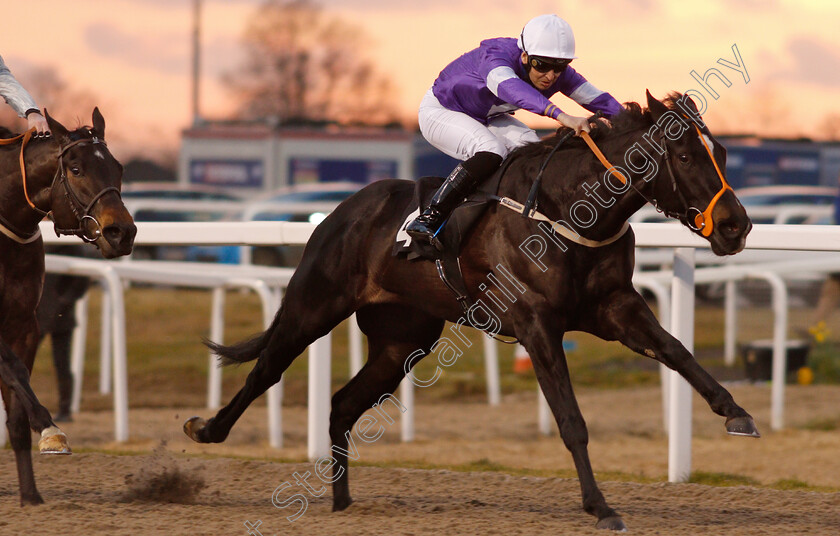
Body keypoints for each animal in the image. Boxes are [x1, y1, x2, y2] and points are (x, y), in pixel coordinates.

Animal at [0, 107, 135, 504]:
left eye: (118, 167)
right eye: (75, 168)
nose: (122, 233)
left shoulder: (23, 324)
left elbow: (16, 409)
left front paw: (30, 496)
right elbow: (15, 373)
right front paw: (51, 431)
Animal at [187, 90, 756, 528]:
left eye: (723, 154)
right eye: (686, 157)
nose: (736, 226)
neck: (568, 209)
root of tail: (340, 211)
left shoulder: (614, 306)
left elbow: (677, 352)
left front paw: (737, 412)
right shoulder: (537, 324)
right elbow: (571, 418)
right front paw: (600, 506)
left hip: (403, 341)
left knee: (343, 404)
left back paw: (342, 499)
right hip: (313, 306)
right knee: (266, 369)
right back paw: (207, 430)